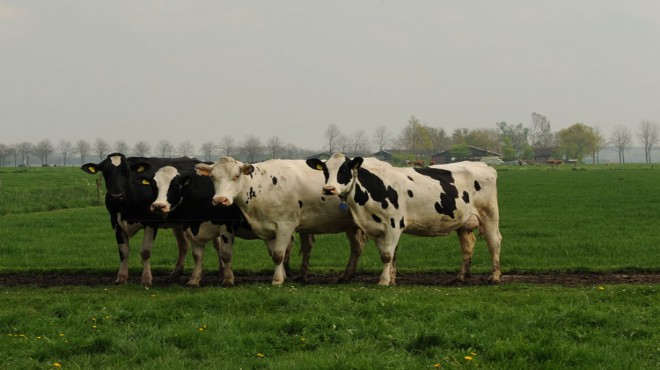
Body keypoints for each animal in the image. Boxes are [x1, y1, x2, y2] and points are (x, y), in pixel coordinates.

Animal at [193, 156, 372, 286]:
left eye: (236, 176)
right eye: (212, 177)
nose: (220, 200)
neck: (263, 186)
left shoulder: (285, 225)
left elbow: (279, 254)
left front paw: (277, 280)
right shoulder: (268, 227)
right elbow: (274, 253)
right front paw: (284, 276)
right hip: (350, 225)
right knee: (357, 246)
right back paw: (346, 276)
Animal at [306, 153, 502, 286]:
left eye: (345, 169)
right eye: (325, 170)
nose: (329, 189)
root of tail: (483, 165)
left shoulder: (393, 224)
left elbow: (387, 255)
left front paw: (384, 281)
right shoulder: (376, 228)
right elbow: (389, 255)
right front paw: (392, 279)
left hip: (489, 215)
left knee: (494, 242)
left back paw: (494, 276)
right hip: (463, 222)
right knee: (468, 246)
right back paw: (460, 278)